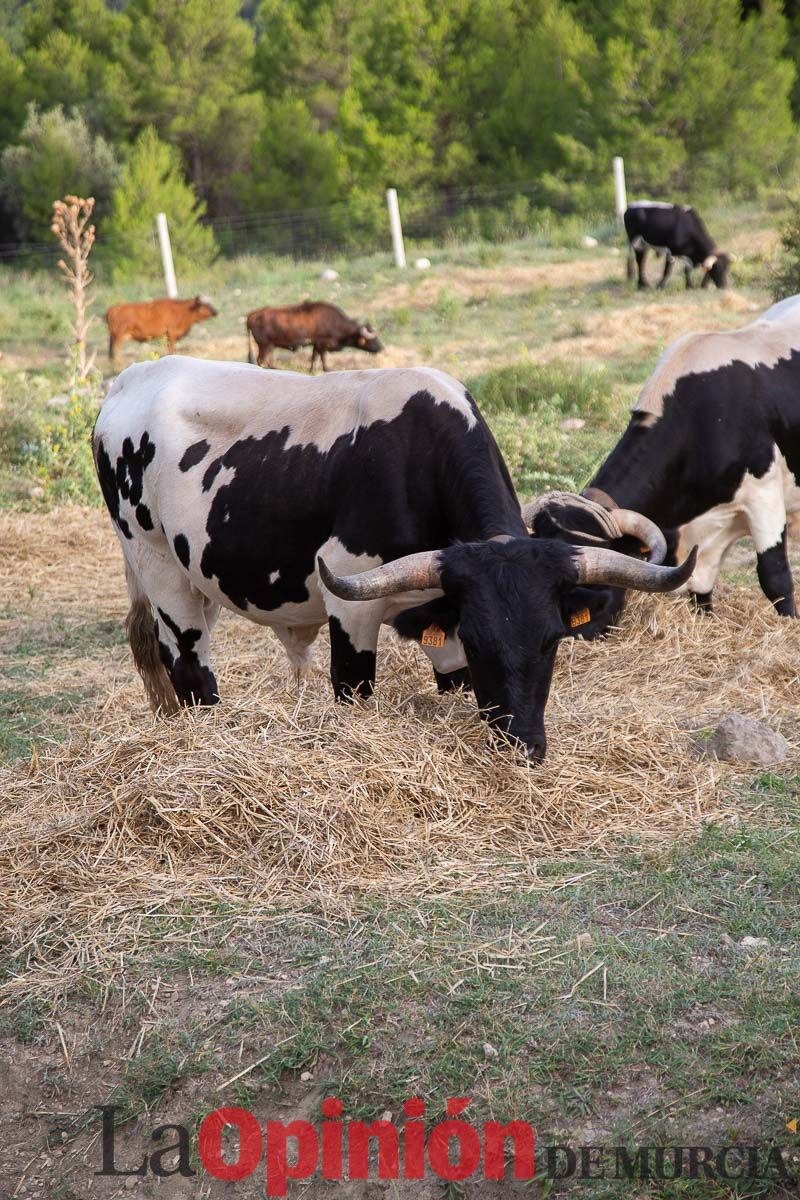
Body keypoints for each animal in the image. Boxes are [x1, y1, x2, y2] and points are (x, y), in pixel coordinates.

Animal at [94, 350, 695, 758]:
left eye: (552, 640)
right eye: (483, 640)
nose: (523, 746)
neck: (418, 454)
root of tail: (131, 377)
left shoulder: (440, 610)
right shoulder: (352, 604)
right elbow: (353, 689)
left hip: (200, 576)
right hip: (157, 566)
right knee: (189, 667)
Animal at [245, 300, 383, 369]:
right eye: (373, 339)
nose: (381, 348)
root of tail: (252, 315)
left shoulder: (315, 344)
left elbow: (314, 357)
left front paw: (312, 369)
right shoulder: (322, 344)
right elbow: (323, 358)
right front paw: (327, 369)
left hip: (269, 346)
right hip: (265, 345)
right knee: (261, 360)